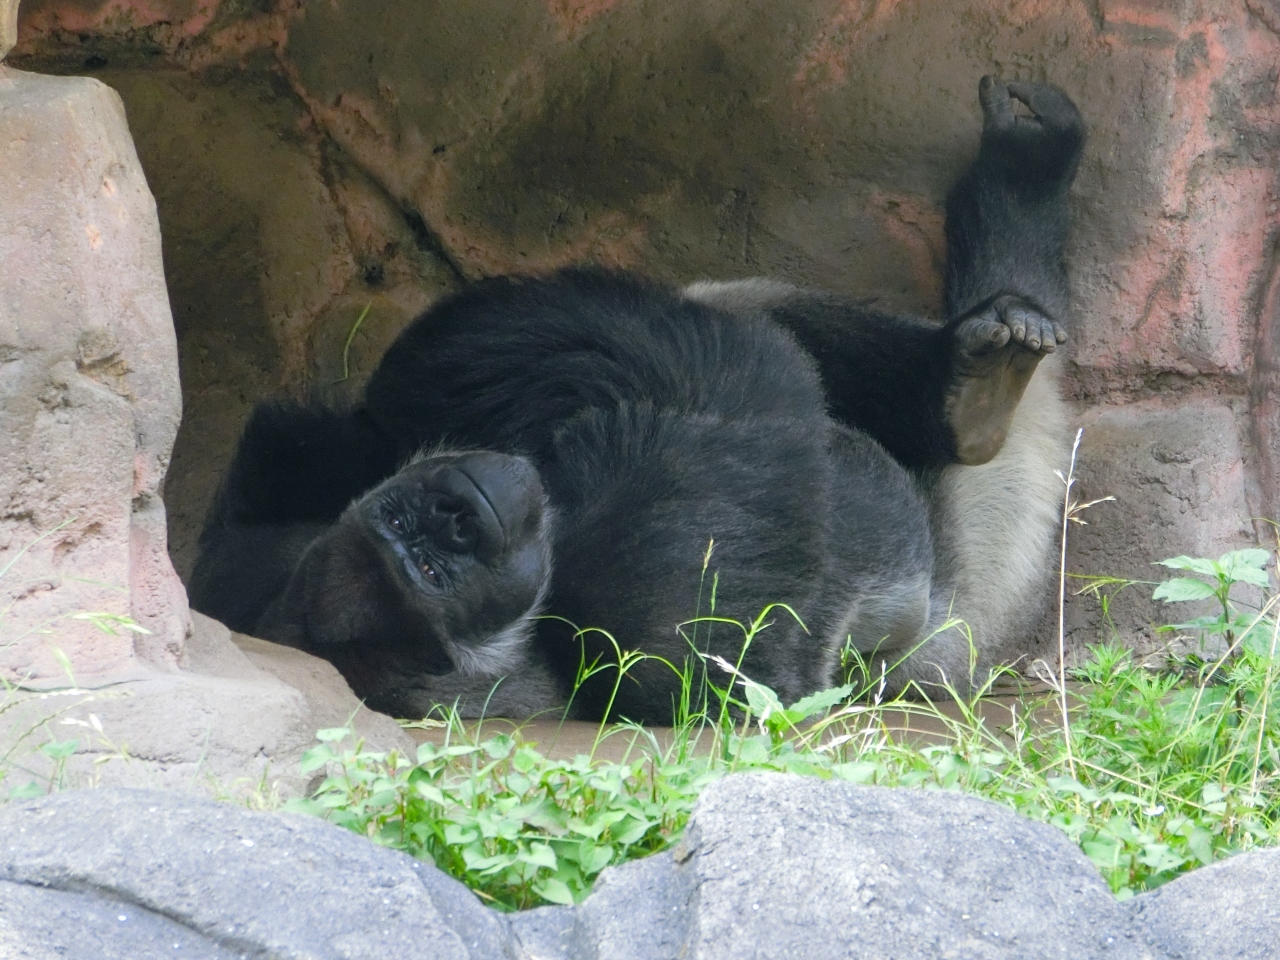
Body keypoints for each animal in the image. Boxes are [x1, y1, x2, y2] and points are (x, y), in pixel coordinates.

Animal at [189, 79, 1085, 727]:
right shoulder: (643, 611)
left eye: (412, 526)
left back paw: (967, 358)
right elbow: (741, 405)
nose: (458, 513)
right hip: (965, 616)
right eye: (433, 569)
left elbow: (437, 374)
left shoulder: (293, 469)